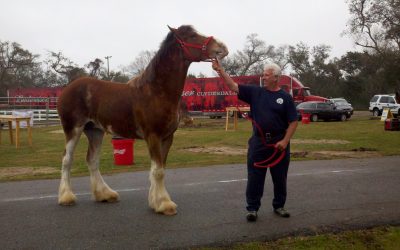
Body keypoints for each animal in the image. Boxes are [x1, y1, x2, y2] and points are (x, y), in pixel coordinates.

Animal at [57, 25, 230, 215]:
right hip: (73, 129)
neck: (156, 91)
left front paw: (155, 201)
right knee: (67, 160)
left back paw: (105, 194)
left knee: (92, 160)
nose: (221, 48)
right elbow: (158, 170)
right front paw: (164, 204)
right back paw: (66, 197)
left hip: (95, 131)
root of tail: (68, 88)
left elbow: (160, 168)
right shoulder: (153, 136)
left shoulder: (167, 137)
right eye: (191, 36)